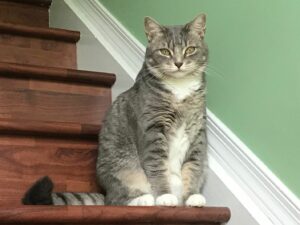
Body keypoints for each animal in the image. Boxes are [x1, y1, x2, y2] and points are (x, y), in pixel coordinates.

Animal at [21, 14, 209, 207]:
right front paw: (165, 196)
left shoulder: (197, 132)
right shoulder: (152, 130)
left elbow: (193, 167)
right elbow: (157, 167)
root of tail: (105, 192)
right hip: (124, 170)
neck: (180, 89)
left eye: (190, 49)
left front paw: (192, 196)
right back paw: (145, 199)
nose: (178, 63)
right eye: (164, 51)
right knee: (116, 200)